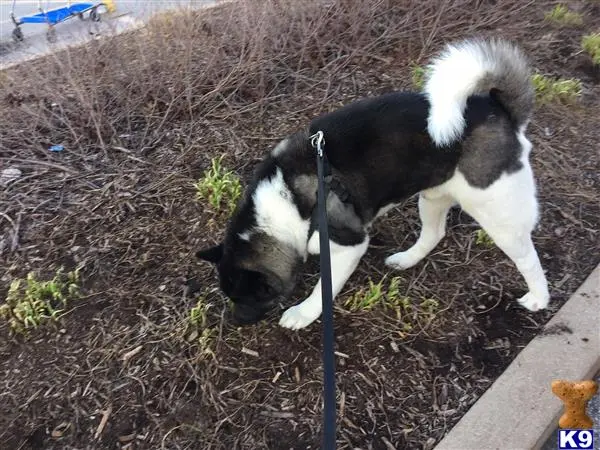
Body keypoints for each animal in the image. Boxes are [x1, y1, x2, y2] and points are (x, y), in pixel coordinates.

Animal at [196, 37, 548, 326]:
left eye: (247, 298)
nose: (235, 322)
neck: (285, 202)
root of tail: (497, 108)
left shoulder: (347, 244)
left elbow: (323, 289)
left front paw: (302, 314)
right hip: (434, 195)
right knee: (434, 233)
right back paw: (407, 259)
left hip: (497, 212)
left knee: (528, 258)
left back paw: (538, 298)